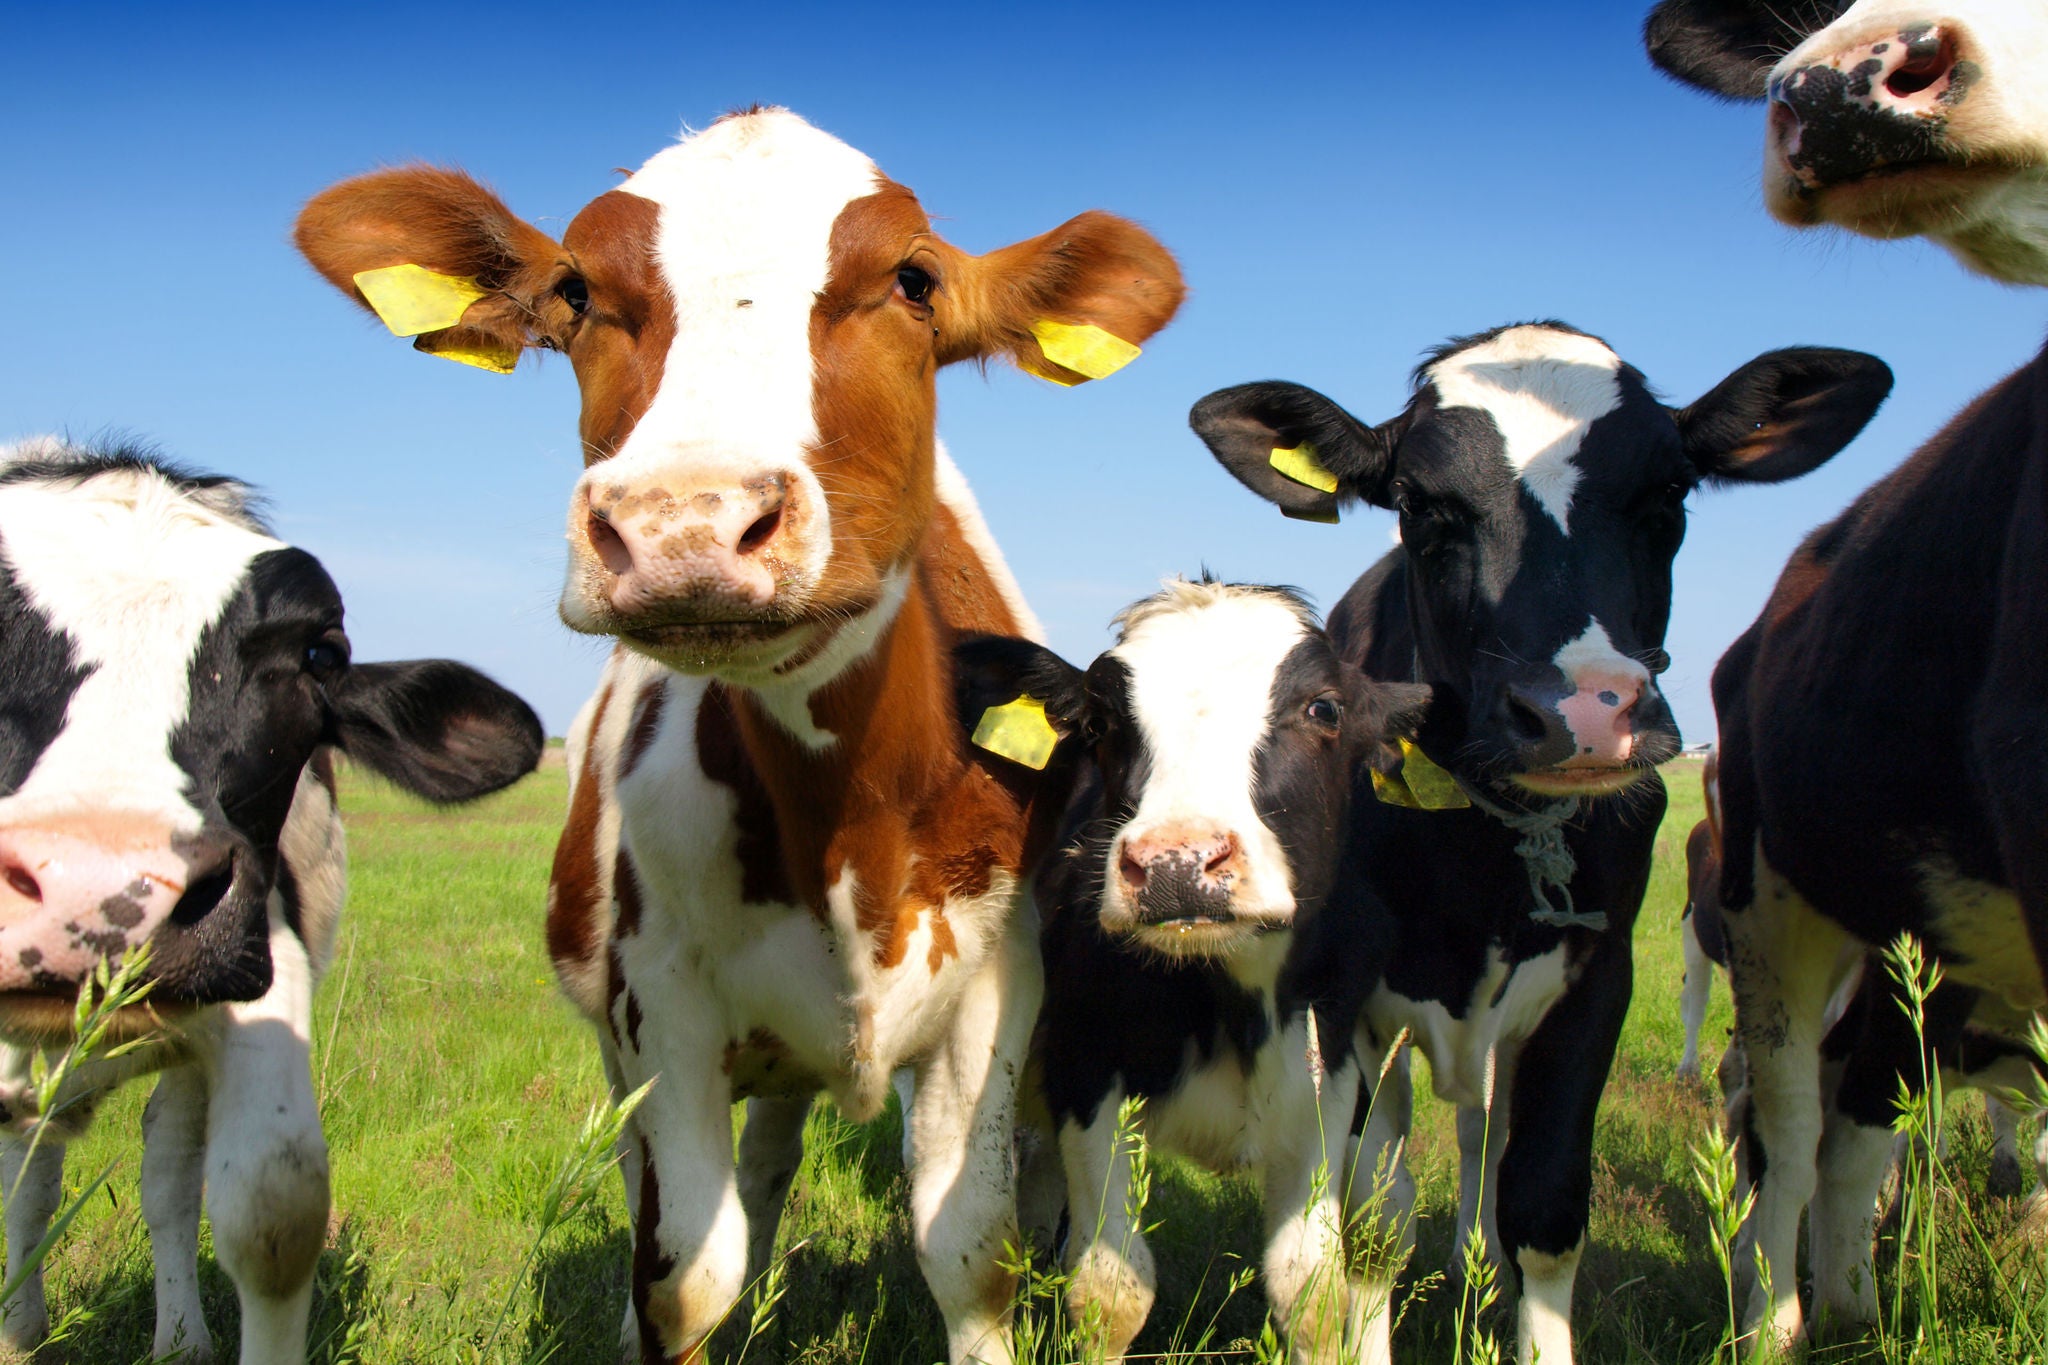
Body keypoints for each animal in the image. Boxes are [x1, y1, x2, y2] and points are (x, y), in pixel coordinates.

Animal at [0, 444, 544, 1358]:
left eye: (320, 655)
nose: (102, 892)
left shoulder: (259, 958)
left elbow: (273, 1207)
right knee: (30, 1164)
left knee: (154, 1165)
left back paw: (174, 1336)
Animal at [292, 101, 1187, 1358]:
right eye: (574, 292)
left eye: (913, 280)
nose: (684, 524)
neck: (850, 822)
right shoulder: (655, 1004)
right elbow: (684, 1276)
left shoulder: (989, 998)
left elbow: (970, 1253)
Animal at [946, 581, 1425, 1358]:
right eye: (1102, 720)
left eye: (1324, 708)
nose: (1177, 863)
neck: (1232, 999)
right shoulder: (1087, 1070)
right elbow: (1111, 1292)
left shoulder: (1328, 1076)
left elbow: (1315, 1291)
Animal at [1196, 323, 1892, 1365]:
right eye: (1421, 505)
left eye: (1668, 492)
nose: (1585, 711)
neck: (1483, 856)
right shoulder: (1339, 990)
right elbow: (1367, 1221)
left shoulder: (1597, 980)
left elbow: (1546, 1199)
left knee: (1485, 1136)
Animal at [1646, 0, 2048, 1342]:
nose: (1837, 82)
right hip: (1778, 908)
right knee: (1792, 1121)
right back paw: (1777, 1315)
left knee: (1864, 1109)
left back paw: (1853, 1305)